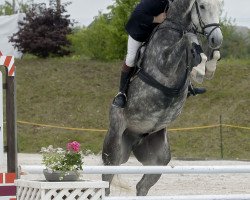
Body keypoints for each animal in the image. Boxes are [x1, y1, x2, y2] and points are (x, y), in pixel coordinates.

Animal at [102, 0, 224, 196]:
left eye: (220, 7)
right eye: (202, 6)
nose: (217, 40)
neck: (176, 25)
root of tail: (135, 139)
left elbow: (201, 55)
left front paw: (207, 65)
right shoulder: (164, 62)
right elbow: (188, 40)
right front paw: (200, 66)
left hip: (159, 158)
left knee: (142, 186)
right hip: (113, 147)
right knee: (106, 181)